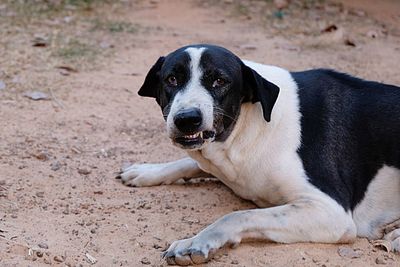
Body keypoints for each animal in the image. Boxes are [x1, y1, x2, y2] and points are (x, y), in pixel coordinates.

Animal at [116, 44, 400, 266]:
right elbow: (189, 162)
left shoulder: (331, 212)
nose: (187, 119)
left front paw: (196, 242)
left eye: (220, 81)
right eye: (172, 79)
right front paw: (147, 171)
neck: (249, 123)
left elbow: (239, 214)